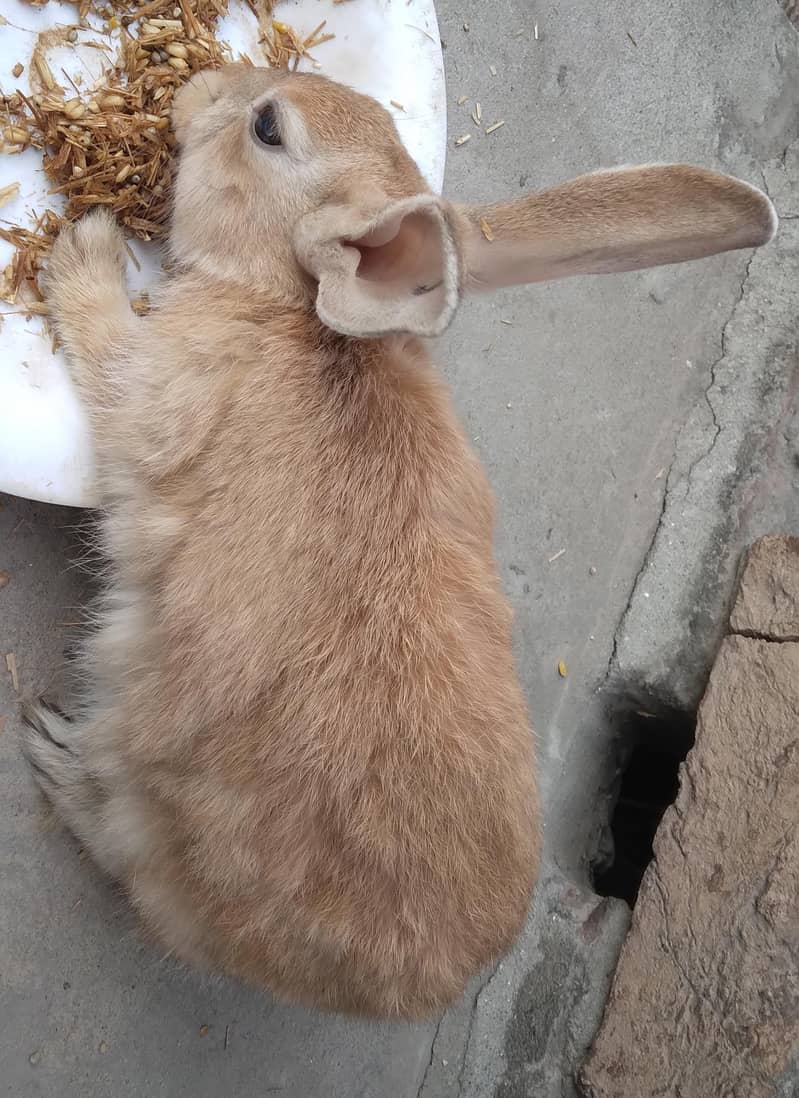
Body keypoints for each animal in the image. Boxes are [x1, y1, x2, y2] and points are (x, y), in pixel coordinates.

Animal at [21, 63, 777, 1019]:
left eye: (267, 128)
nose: (202, 85)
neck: (290, 304)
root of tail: (417, 988)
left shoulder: (152, 389)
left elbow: (106, 348)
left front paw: (82, 246)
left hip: (152, 815)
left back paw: (57, 755)